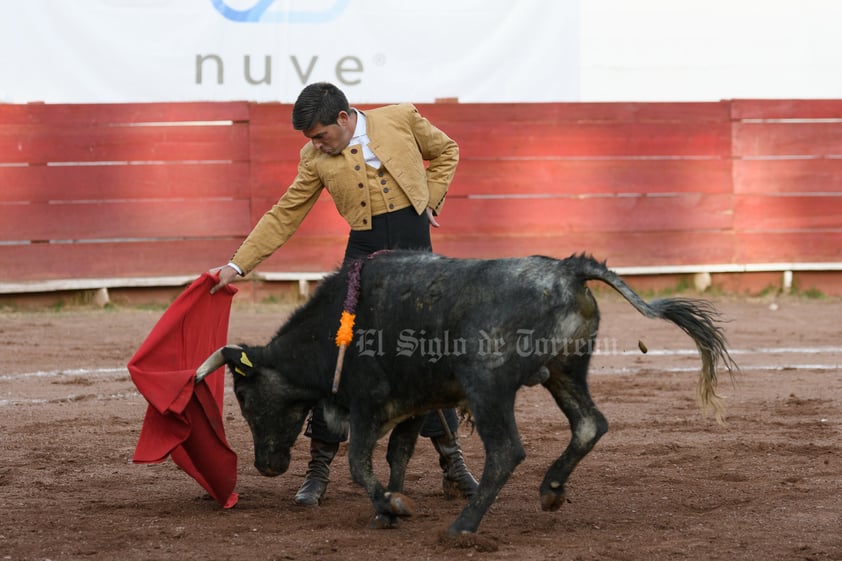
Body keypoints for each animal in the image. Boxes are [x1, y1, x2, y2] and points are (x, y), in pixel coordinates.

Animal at [197, 252, 736, 536]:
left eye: (243, 397)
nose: (266, 466)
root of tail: (567, 269)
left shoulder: (370, 403)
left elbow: (359, 463)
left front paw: (391, 507)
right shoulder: (415, 406)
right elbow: (397, 456)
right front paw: (387, 506)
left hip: (488, 385)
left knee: (507, 450)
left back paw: (464, 524)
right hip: (565, 372)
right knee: (589, 424)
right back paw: (551, 490)